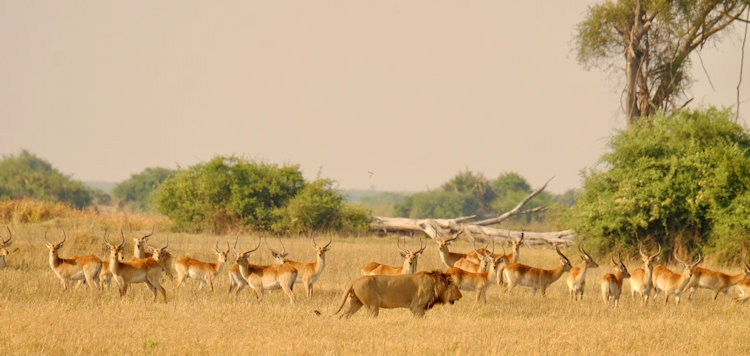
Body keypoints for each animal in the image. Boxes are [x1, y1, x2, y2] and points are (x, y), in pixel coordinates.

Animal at [334, 270, 464, 318]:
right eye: (456, 287)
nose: (461, 296)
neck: (435, 283)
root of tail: (354, 281)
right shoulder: (416, 307)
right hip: (372, 306)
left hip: (355, 303)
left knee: (344, 316)